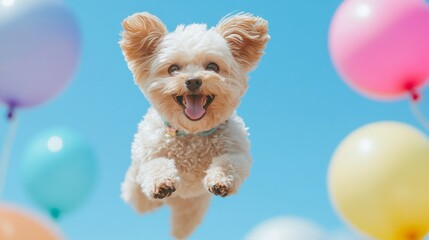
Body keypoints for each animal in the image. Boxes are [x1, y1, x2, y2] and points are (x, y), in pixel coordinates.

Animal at [118, 12, 270, 239]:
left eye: (212, 67)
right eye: (173, 69)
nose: (193, 81)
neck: (192, 133)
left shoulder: (238, 153)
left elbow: (228, 164)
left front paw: (220, 180)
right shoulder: (150, 155)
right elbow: (156, 165)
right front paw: (161, 183)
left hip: (192, 207)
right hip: (137, 190)